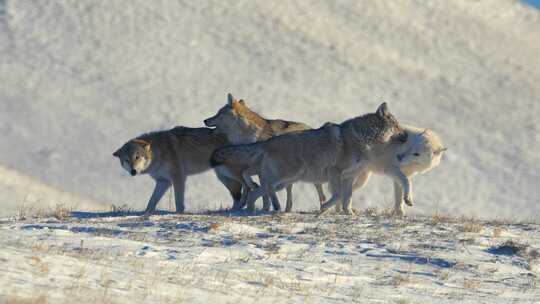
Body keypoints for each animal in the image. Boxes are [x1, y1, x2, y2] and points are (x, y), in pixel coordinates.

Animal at [113, 127, 242, 215]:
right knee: (237, 191)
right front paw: (146, 214)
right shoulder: (163, 181)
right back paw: (235, 210)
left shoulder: (178, 177)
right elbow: (151, 201)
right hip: (223, 176)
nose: (133, 171)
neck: (158, 153)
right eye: (126, 160)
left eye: (137, 157)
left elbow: (178, 201)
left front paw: (179, 214)